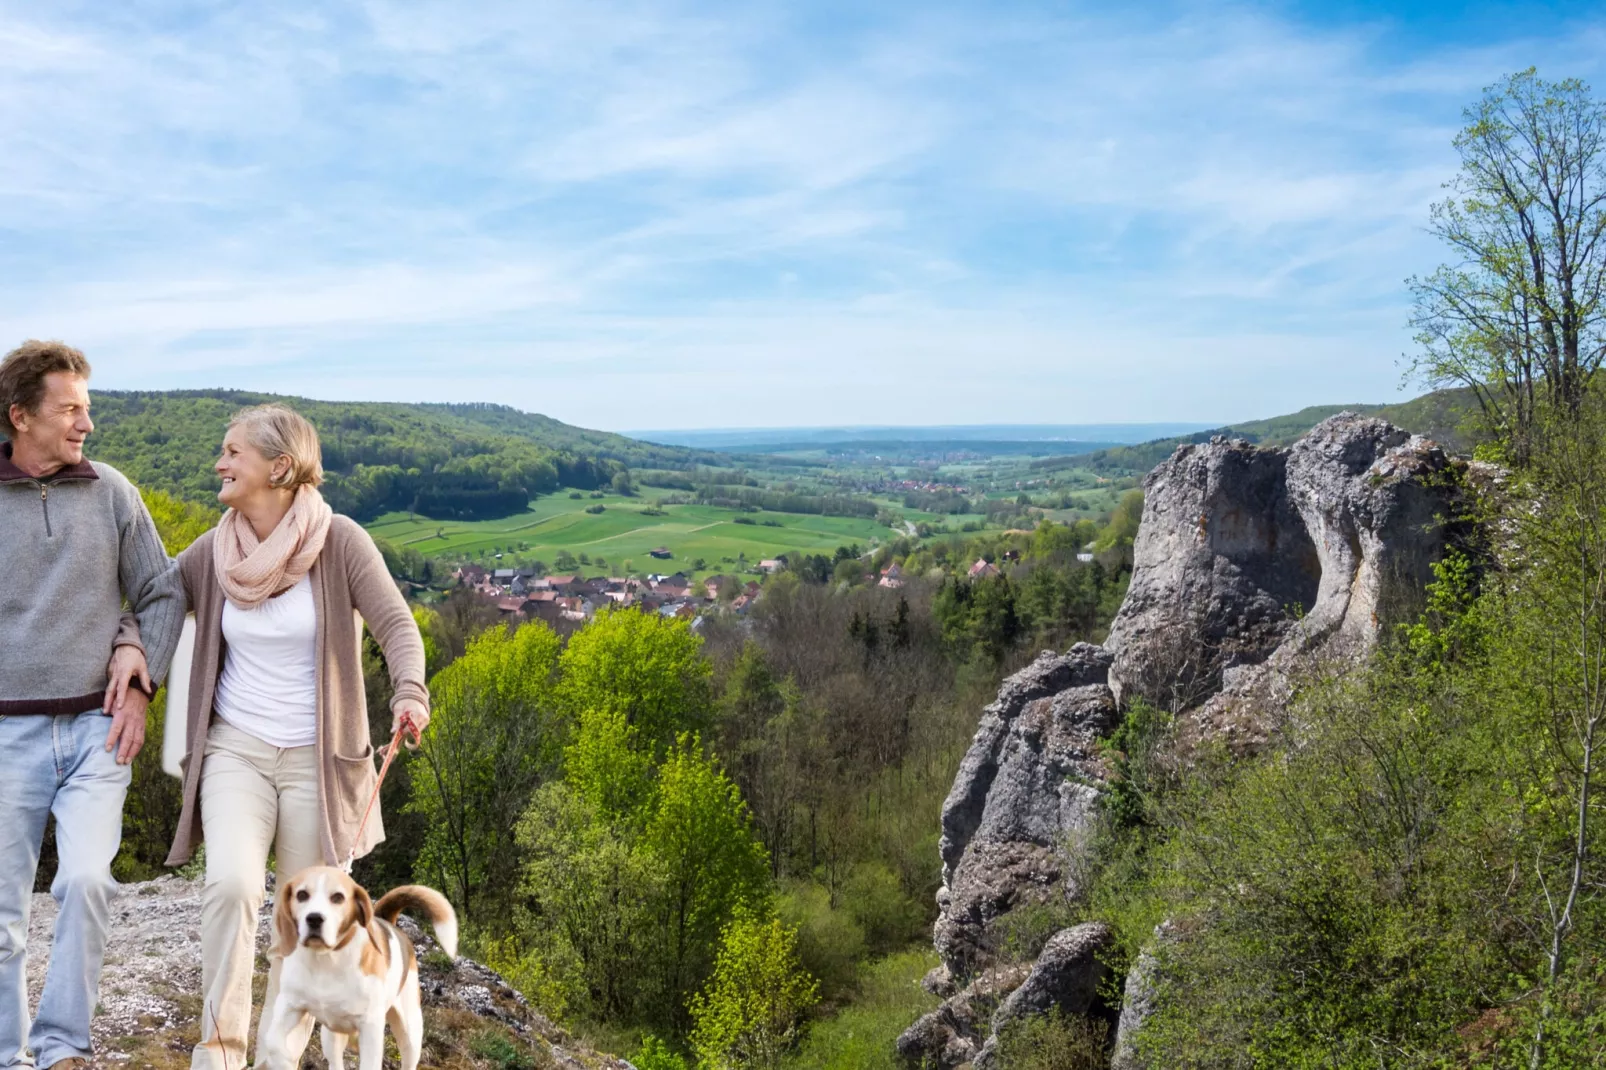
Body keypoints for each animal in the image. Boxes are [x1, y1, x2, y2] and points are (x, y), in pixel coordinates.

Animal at [256, 861, 459, 1066]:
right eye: (302, 895)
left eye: (338, 897)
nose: (314, 919)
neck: (325, 960)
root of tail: (390, 923)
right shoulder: (289, 1006)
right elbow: (272, 1041)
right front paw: (285, 1060)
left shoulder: (370, 1028)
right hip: (330, 1037)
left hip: (410, 1035)